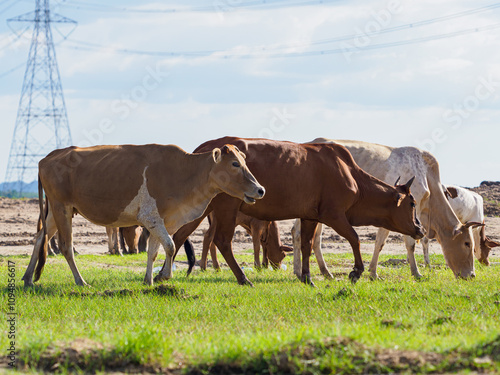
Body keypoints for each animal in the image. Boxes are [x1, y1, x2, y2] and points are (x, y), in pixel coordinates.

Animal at [22, 144, 266, 288]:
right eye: (234, 164)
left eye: (244, 162)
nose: (260, 190)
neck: (185, 172)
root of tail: (49, 156)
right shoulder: (152, 218)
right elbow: (170, 247)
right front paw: (165, 276)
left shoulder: (164, 221)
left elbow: (153, 251)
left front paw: (148, 280)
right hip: (61, 208)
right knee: (66, 246)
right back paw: (80, 281)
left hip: (55, 212)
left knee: (39, 238)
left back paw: (27, 278)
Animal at [162, 138, 424, 288]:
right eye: (412, 203)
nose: (420, 229)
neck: (350, 175)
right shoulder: (334, 215)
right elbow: (355, 238)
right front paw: (355, 272)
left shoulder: (310, 216)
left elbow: (306, 245)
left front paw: (307, 277)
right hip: (227, 206)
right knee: (222, 240)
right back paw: (243, 278)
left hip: (202, 208)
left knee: (179, 236)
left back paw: (164, 275)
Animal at [292, 140, 480, 280]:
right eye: (467, 243)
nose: (471, 275)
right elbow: (409, 243)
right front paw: (416, 273)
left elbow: (380, 242)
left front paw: (373, 273)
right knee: (300, 234)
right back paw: (300, 272)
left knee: (310, 237)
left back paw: (323, 272)